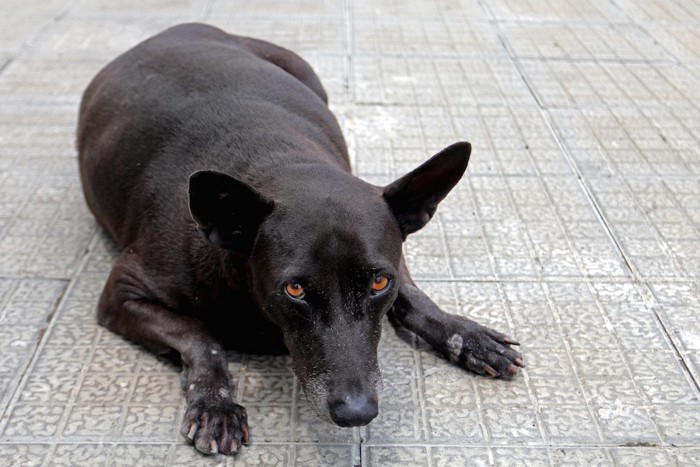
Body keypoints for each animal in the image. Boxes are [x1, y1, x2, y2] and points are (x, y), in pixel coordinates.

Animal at [79, 24, 524, 458]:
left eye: (379, 282)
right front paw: (215, 402)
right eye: (294, 290)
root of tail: (171, 30)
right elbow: (199, 335)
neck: (281, 162)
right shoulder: (122, 293)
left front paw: (465, 335)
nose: (357, 412)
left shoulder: (393, 255)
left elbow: (414, 296)